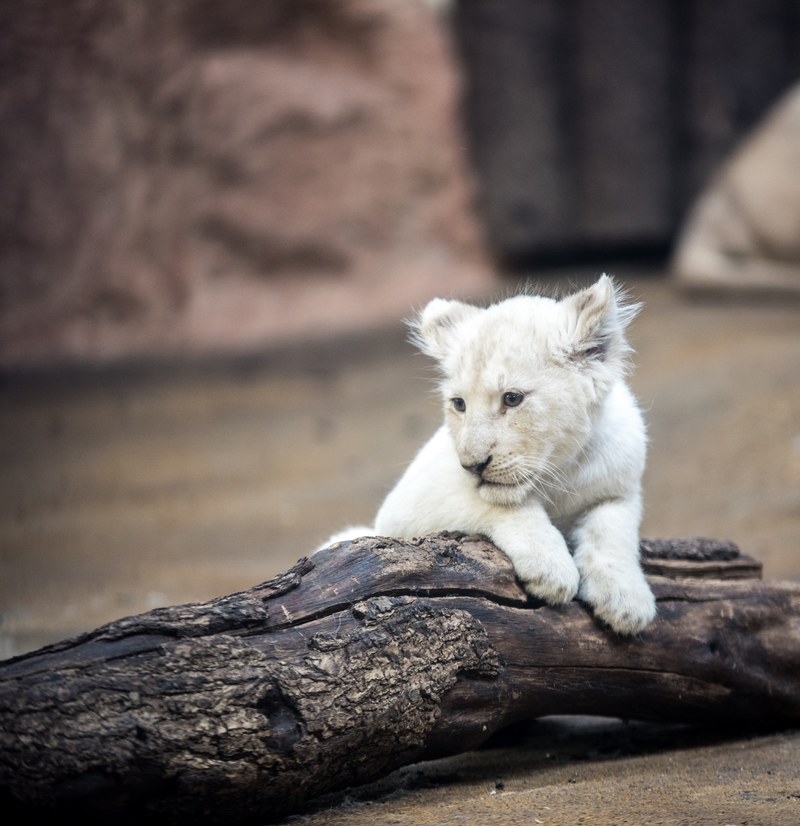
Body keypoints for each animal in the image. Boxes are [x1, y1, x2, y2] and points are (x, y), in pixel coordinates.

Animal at [323, 275, 657, 635]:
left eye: (512, 398)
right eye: (459, 404)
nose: (472, 465)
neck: (559, 472)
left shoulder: (621, 489)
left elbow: (613, 530)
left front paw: (626, 602)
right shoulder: (405, 508)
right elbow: (497, 504)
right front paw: (550, 568)